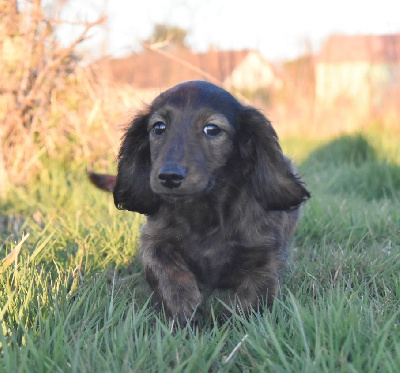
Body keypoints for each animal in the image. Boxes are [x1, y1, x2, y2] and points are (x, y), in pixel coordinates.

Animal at [89, 79, 310, 322]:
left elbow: (253, 297)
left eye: (212, 129)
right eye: (158, 128)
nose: (169, 177)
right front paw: (186, 313)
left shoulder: (266, 252)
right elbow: (166, 273)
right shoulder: (153, 239)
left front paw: (230, 322)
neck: (205, 212)